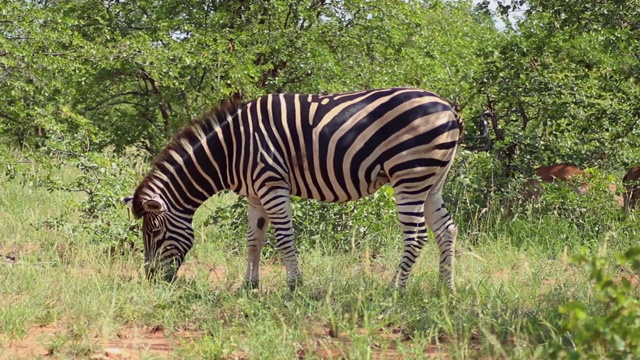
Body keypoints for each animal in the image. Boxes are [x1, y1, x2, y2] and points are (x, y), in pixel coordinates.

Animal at [124, 87, 460, 292]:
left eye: (154, 232)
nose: (151, 279)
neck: (231, 149)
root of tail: (448, 108)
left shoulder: (272, 185)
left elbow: (284, 238)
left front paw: (294, 286)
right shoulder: (254, 195)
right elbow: (253, 241)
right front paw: (248, 286)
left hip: (410, 175)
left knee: (416, 236)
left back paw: (394, 290)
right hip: (432, 181)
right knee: (446, 230)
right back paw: (445, 288)